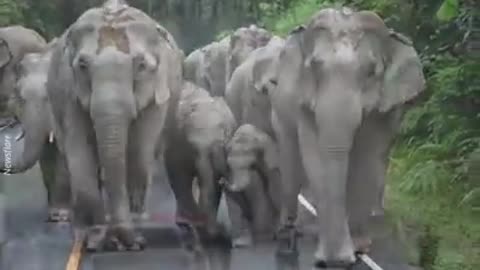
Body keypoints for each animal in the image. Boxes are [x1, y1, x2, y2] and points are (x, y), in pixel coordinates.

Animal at [45, 0, 184, 252]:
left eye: (141, 65)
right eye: (82, 65)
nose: (123, 241)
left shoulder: (159, 90)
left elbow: (138, 151)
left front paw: (133, 232)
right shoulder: (69, 90)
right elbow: (79, 150)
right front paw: (94, 237)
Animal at [164, 81, 237, 242]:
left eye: (227, 135)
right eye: (194, 147)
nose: (221, 232)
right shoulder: (177, 140)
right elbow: (178, 174)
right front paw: (189, 223)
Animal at [270, 7, 428, 266]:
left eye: (371, 72)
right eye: (315, 66)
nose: (334, 261)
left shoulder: (383, 110)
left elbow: (367, 160)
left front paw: (358, 248)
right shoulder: (305, 105)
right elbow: (315, 160)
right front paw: (331, 255)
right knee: (290, 161)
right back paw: (287, 233)